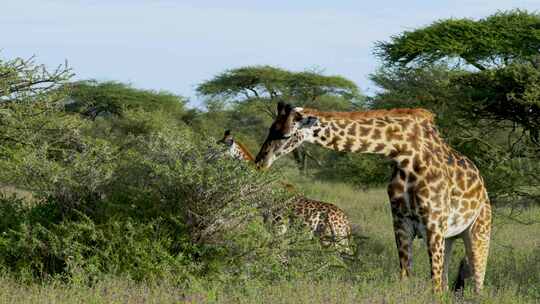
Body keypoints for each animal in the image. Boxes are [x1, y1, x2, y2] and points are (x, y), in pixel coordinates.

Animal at [255, 102, 492, 292]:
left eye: (285, 135)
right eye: (270, 129)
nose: (260, 162)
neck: (403, 152)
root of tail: (482, 185)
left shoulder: (433, 224)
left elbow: (434, 287)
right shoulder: (401, 222)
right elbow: (406, 278)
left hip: (478, 231)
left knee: (478, 284)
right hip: (450, 237)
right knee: (447, 279)